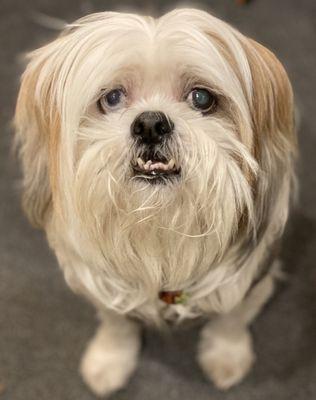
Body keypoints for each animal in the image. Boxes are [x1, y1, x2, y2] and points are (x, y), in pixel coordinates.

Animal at [14, 6, 296, 396]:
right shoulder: (104, 282)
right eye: (112, 98)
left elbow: (231, 319)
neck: (161, 225)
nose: (150, 124)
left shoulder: (251, 277)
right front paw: (109, 361)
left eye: (201, 98)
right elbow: (115, 324)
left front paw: (227, 357)